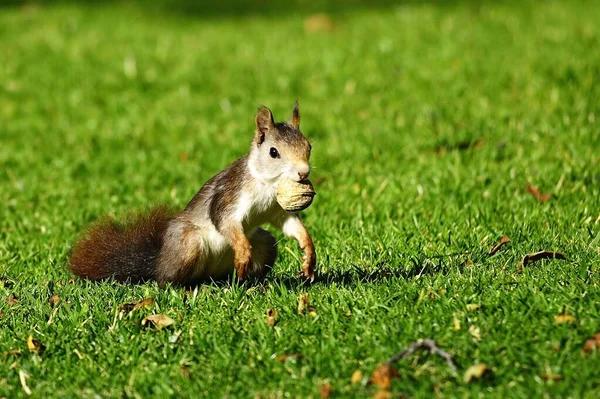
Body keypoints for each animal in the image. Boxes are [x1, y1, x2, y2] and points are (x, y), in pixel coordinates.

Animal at [68, 103, 316, 284]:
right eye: (273, 152)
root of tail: (158, 261)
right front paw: (243, 251)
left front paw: (308, 253)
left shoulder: (276, 210)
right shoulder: (230, 196)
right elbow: (224, 222)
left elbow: (291, 226)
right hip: (188, 243)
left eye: (309, 146)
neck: (267, 184)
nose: (303, 172)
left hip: (264, 244)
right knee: (167, 280)